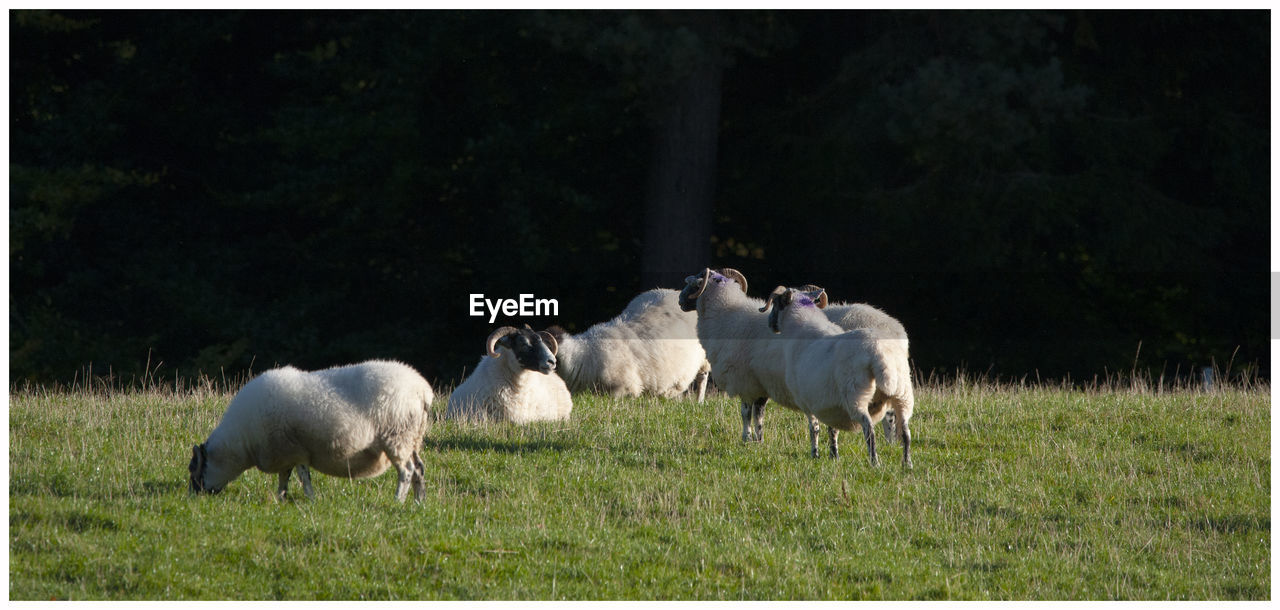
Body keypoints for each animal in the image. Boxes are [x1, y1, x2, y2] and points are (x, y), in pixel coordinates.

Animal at [186, 358, 435, 501]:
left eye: (194, 469)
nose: (193, 496)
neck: (242, 442)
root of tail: (423, 391)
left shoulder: (295, 449)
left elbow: (302, 477)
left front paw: (309, 499)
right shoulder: (286, 453)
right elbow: (284, 477)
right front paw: (281, 498)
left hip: (397, 436)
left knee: (407, 471)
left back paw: (398, 500)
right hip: (412, 438)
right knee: (419, 468)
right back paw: (418, 502)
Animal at [757, 285, 911, 465]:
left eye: (775, 303)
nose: (769, 323)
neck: (801, 328)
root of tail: (878, 352)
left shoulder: (808, 400)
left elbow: (814, 428)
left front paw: (815, 454)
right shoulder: (830, 403)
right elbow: (833, 429)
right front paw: (834, 455)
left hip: (856, 396)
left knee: (869, 429)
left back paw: (875, 462)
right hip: (902, 393)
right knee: (905, 431)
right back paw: (907, 463)